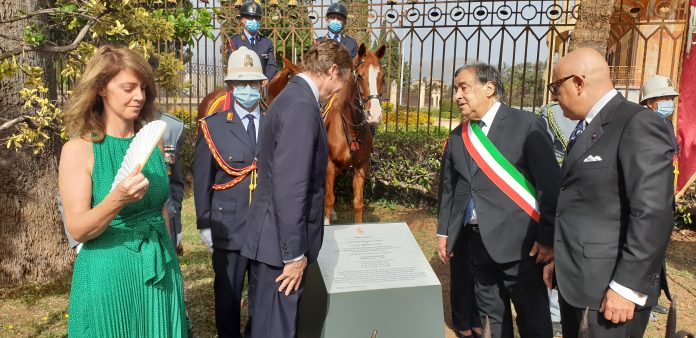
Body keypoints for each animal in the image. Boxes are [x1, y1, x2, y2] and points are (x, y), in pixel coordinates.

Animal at [322, 44, 384, 224]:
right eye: (360, 76)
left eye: (382, 76)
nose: (374, 114)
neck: (351, 128)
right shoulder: (329, 166)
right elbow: (329, 199)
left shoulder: (361, 167)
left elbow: (357, 203)